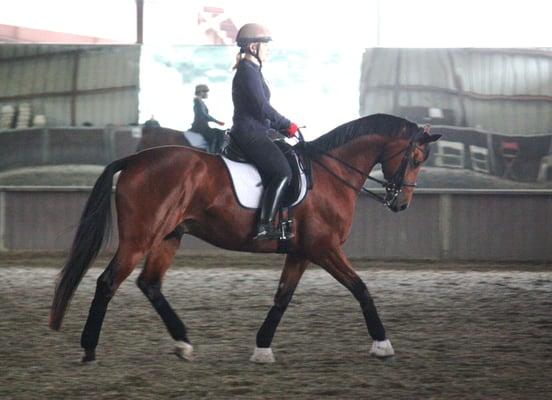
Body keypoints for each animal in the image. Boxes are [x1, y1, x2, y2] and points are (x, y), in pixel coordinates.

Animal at [50, 111, 440, 362]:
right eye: (417, 158)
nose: (401, 203)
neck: (331, 174)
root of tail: (135, 159)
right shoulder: (324, 248)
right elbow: (360, 288)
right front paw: (382, 344)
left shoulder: (301, 252)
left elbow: (282, 297)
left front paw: (262, 348)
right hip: (139, 239)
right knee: (108, 282)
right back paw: (89, 347)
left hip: (169, 236)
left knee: (149, 284)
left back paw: (183, 343)